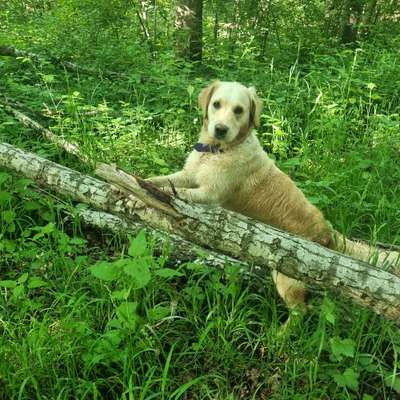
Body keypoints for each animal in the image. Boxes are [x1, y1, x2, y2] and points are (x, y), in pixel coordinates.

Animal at [148, 81, 400, 310]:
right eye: (216, 104)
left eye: (239, 110)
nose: (220, 128)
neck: (216, 150)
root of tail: (329, 233)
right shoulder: (187, 175)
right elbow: (160, 179)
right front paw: (141, 179)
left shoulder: (211, 194)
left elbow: (176, 192)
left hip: (288, 274)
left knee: (301, 311)